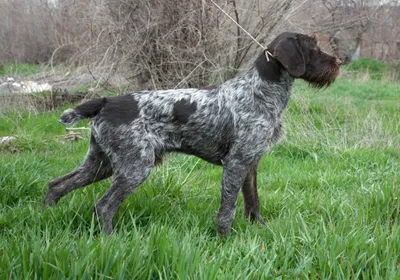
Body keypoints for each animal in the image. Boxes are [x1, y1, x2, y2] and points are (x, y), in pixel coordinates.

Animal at [43, 31, 340, 235]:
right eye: (313, 47)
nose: (338, 61)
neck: (261, 91)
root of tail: (106, 101)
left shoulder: (251, 163)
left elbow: (252, 201)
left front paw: (259, 228)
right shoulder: (236, 163)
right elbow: (228, 207)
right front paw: (224, 238)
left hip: (101, 163)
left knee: (57, 185)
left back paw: (46, 215)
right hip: (134, 167)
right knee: (103, 206)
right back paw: (109, 239)